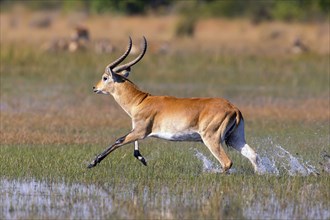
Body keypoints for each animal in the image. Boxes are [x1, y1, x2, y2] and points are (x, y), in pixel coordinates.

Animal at [88, 36, 260, 174]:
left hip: (212, 139)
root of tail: (234, 108)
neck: (140, 101)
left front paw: (92, 163)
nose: (95, 87)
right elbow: (133, 148)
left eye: (105, 77)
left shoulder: (141, 131)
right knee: (254, 156)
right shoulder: (137, 130)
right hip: (234, 139)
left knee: (227, 162)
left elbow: (119, 140)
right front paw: (142, 159)